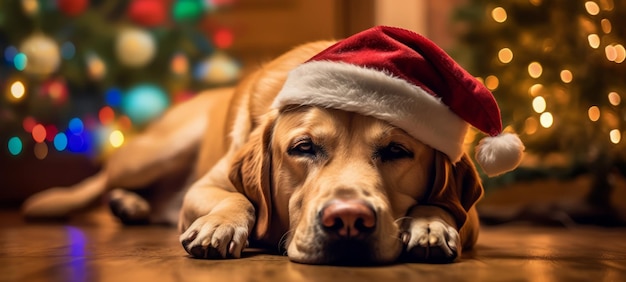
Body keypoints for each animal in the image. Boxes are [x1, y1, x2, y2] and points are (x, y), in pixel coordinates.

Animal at [22, 25, 520, 264]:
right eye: (302, 148)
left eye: (398, 152)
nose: (348, 221)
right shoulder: (205, 186)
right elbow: (237, 199)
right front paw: (220, 225)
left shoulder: (472, 215)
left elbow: (442, 206)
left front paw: (430, 225)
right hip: (160, 149)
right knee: (101, 179)